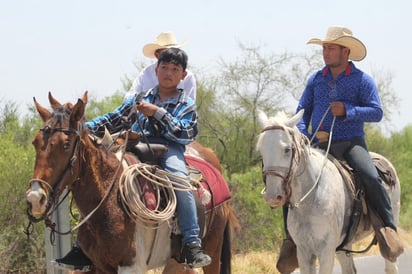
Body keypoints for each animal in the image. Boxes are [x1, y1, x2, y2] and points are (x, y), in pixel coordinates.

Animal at [26, 92, 238, 274]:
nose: (35, 198)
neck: (109, 198)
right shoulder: (96, 267)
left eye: (66, 144)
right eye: (35, 143)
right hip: (176, 260)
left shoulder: (131, 266)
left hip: (213, 248)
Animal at [256, 109, 400, 274]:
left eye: (287, 149)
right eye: (261, 151)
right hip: (344, 246)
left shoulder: (326, 250)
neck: (310, 200)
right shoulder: (304, 252)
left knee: (391, 265)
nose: (273, 196)